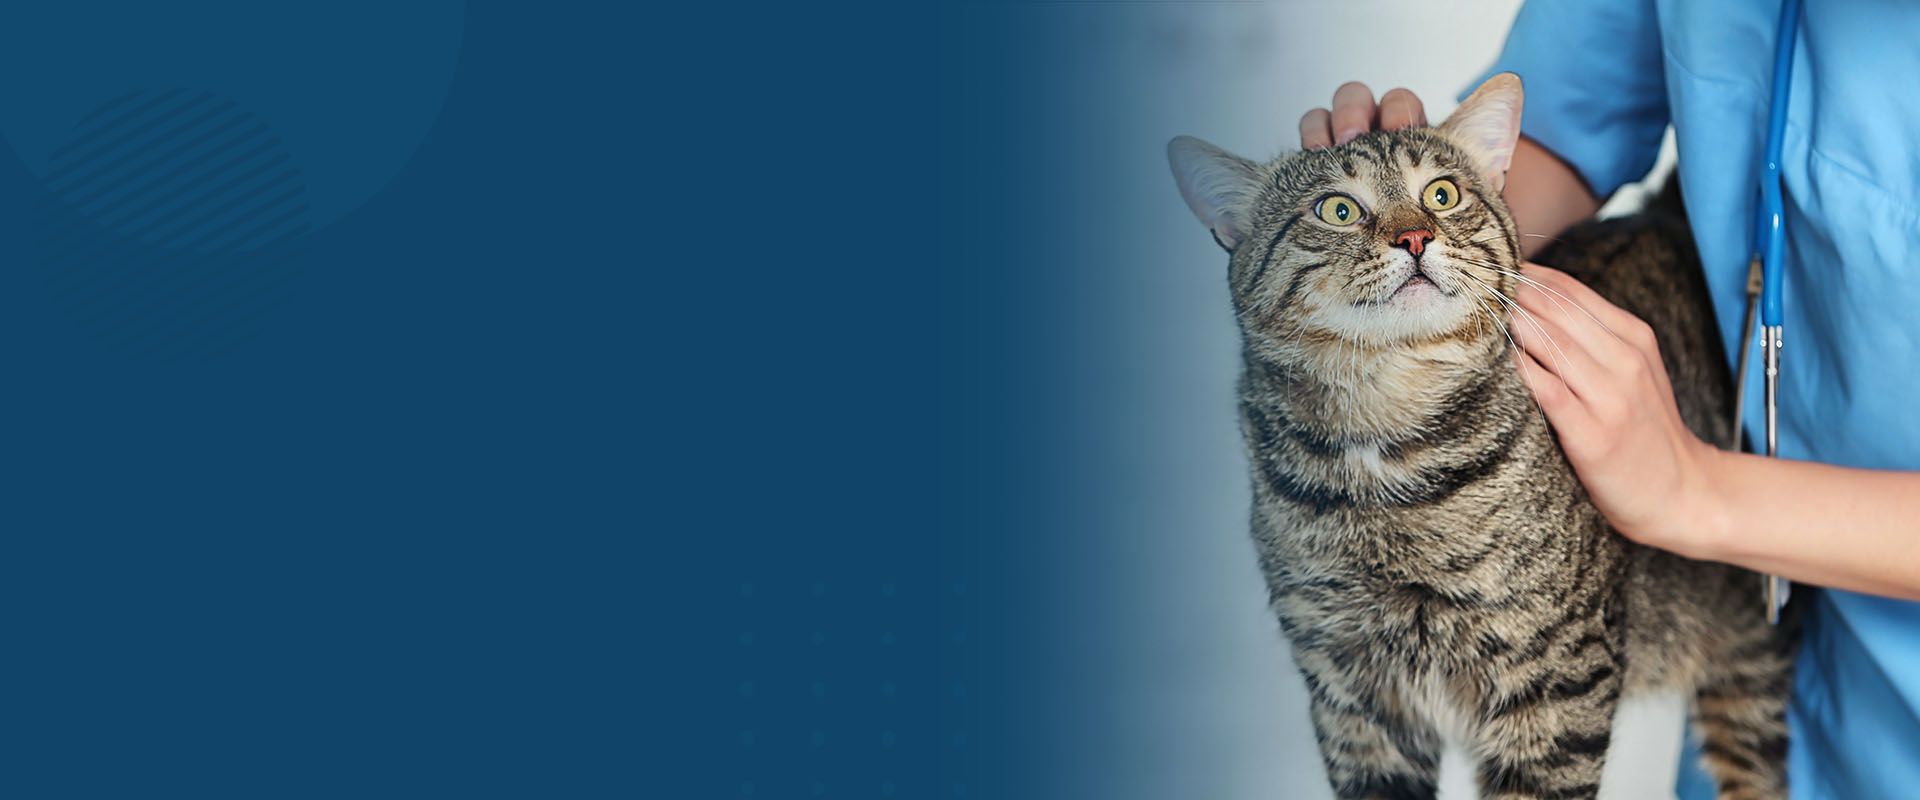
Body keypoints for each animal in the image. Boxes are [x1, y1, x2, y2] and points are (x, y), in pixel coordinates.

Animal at [1167, 71, 1797, 794]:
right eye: (1338, 210)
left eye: (1442, 194)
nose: (1415, 238)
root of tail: (1662, 215)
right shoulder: (1353, 697)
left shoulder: (1554, 682)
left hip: (1749, 654)